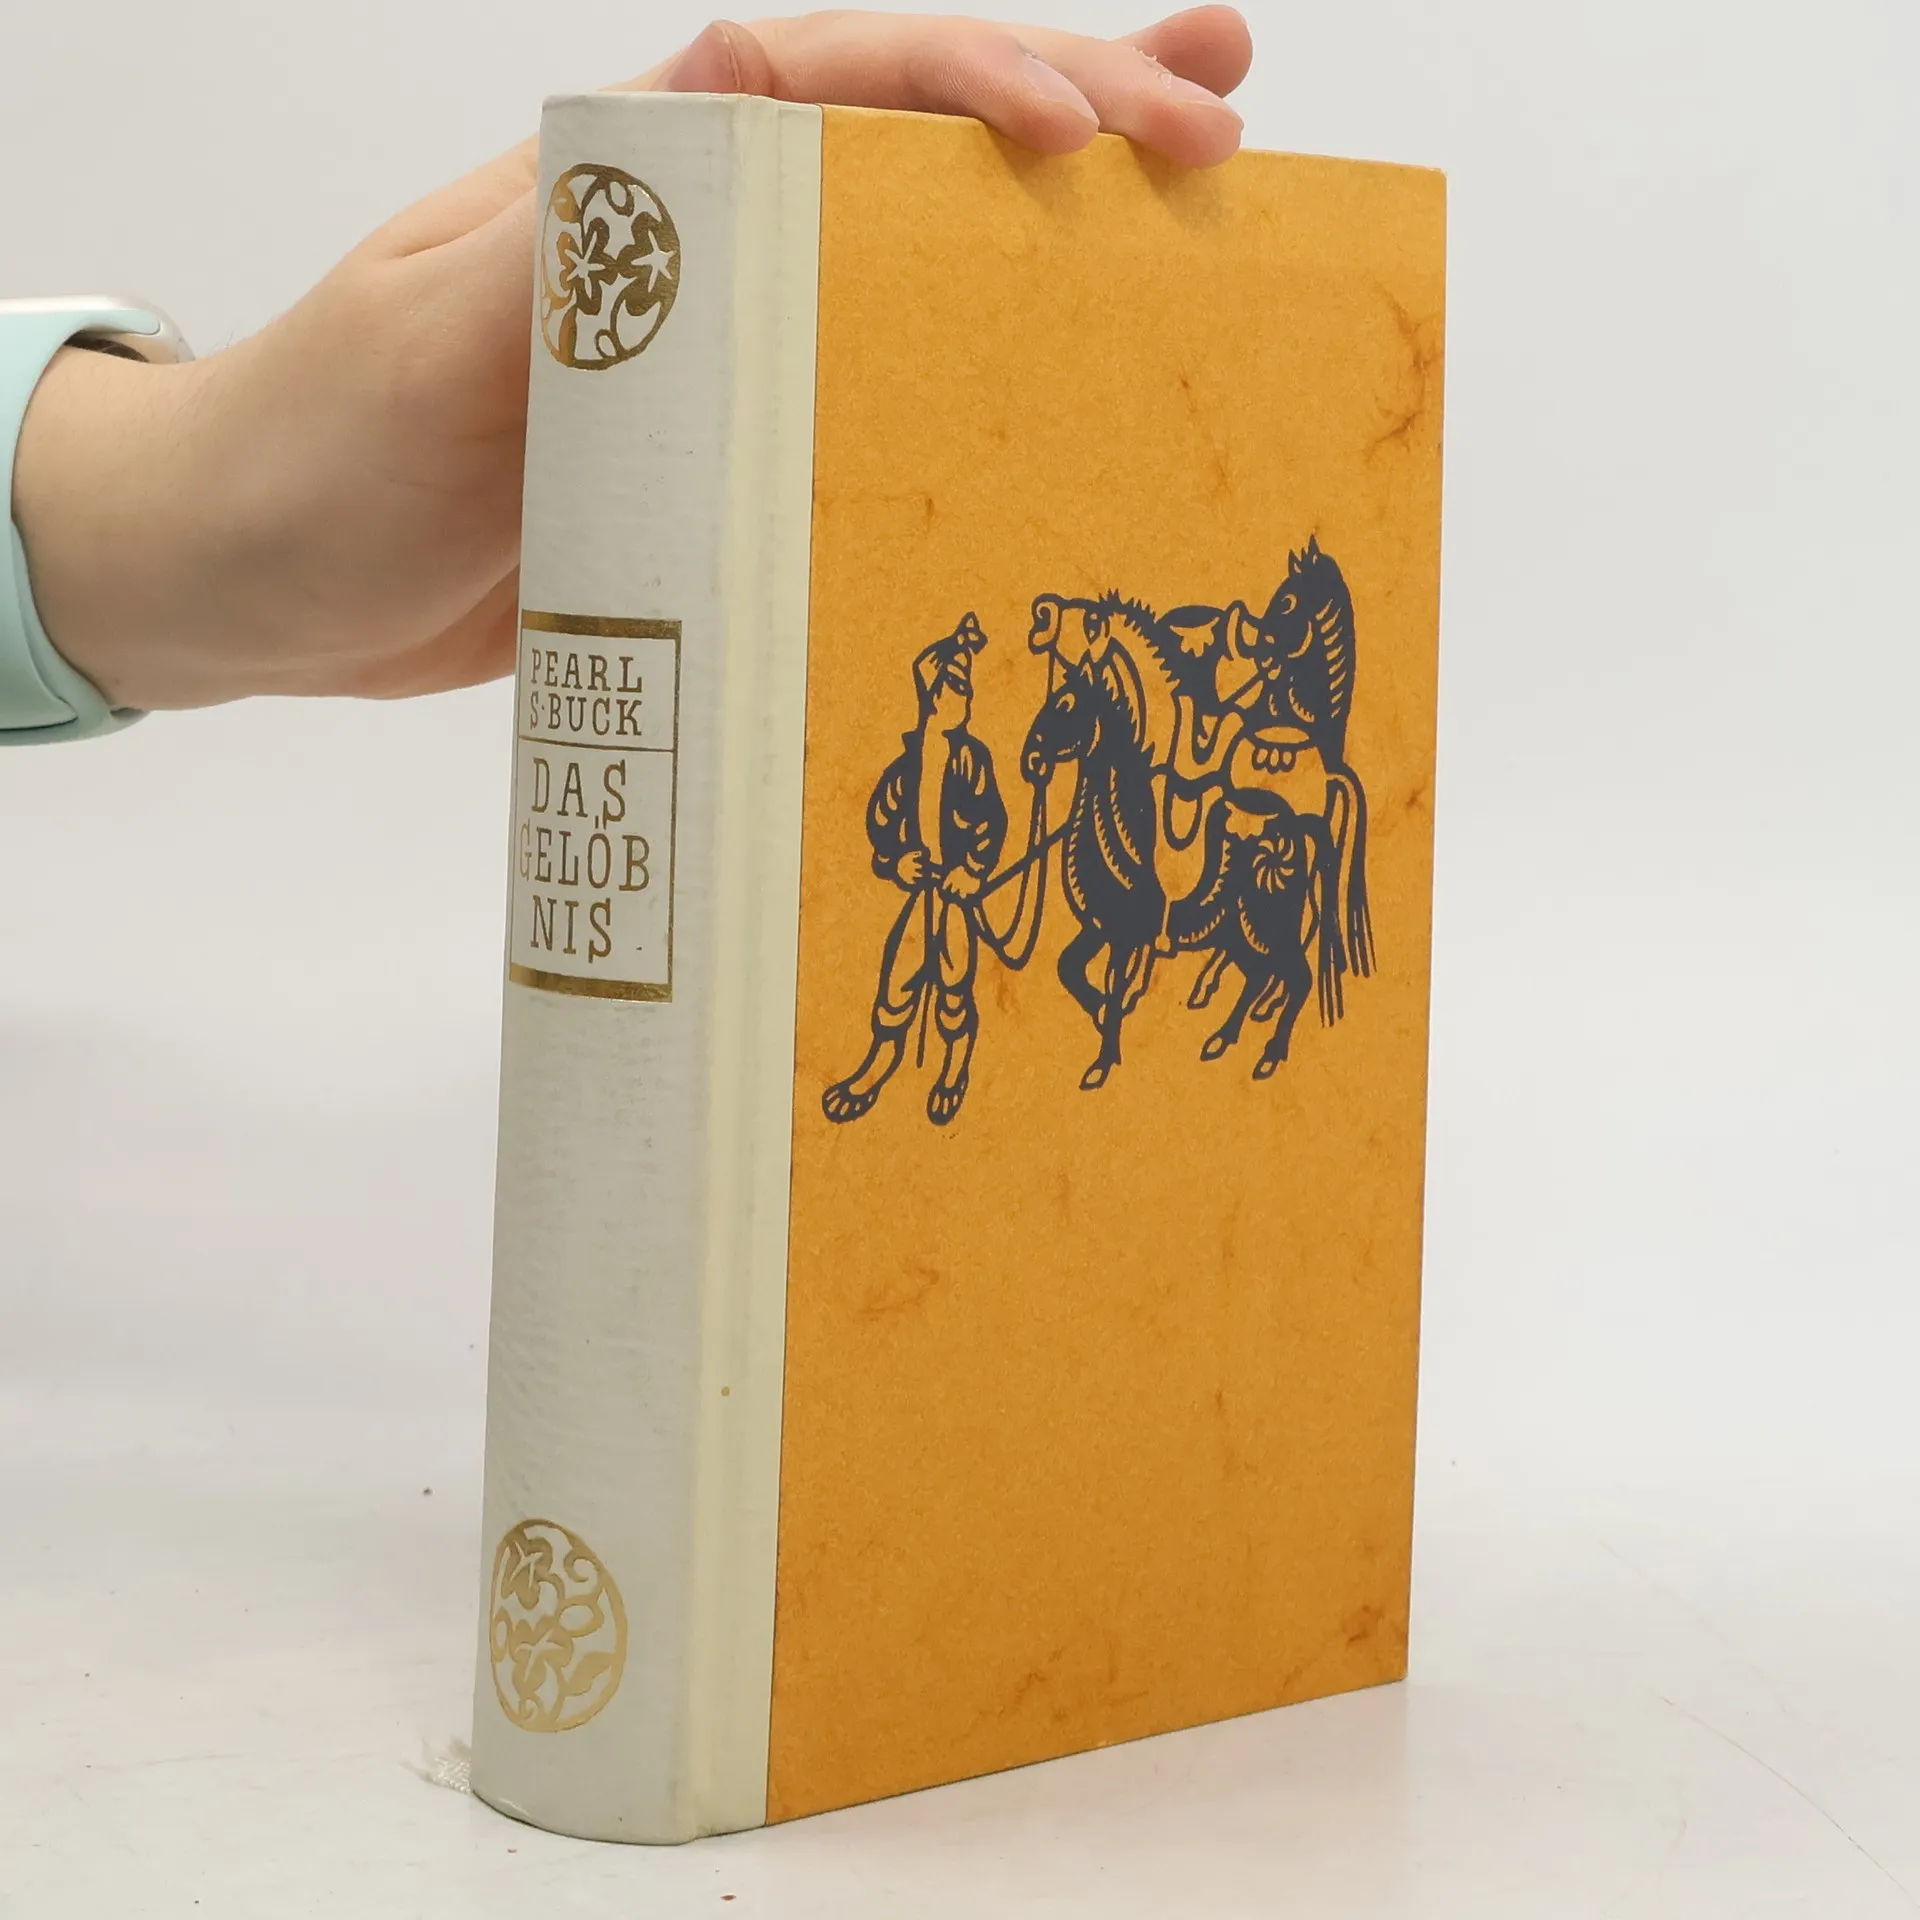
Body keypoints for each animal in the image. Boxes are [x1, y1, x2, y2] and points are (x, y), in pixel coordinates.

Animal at [1019, 648, 1165, 1090]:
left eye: (1066, 705)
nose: (1031, 760)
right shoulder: (1097, 928)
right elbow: (1069, 968)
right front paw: (1103, 1014)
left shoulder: (1124, 936)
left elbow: (1114, 984)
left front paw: (1103, 1062)